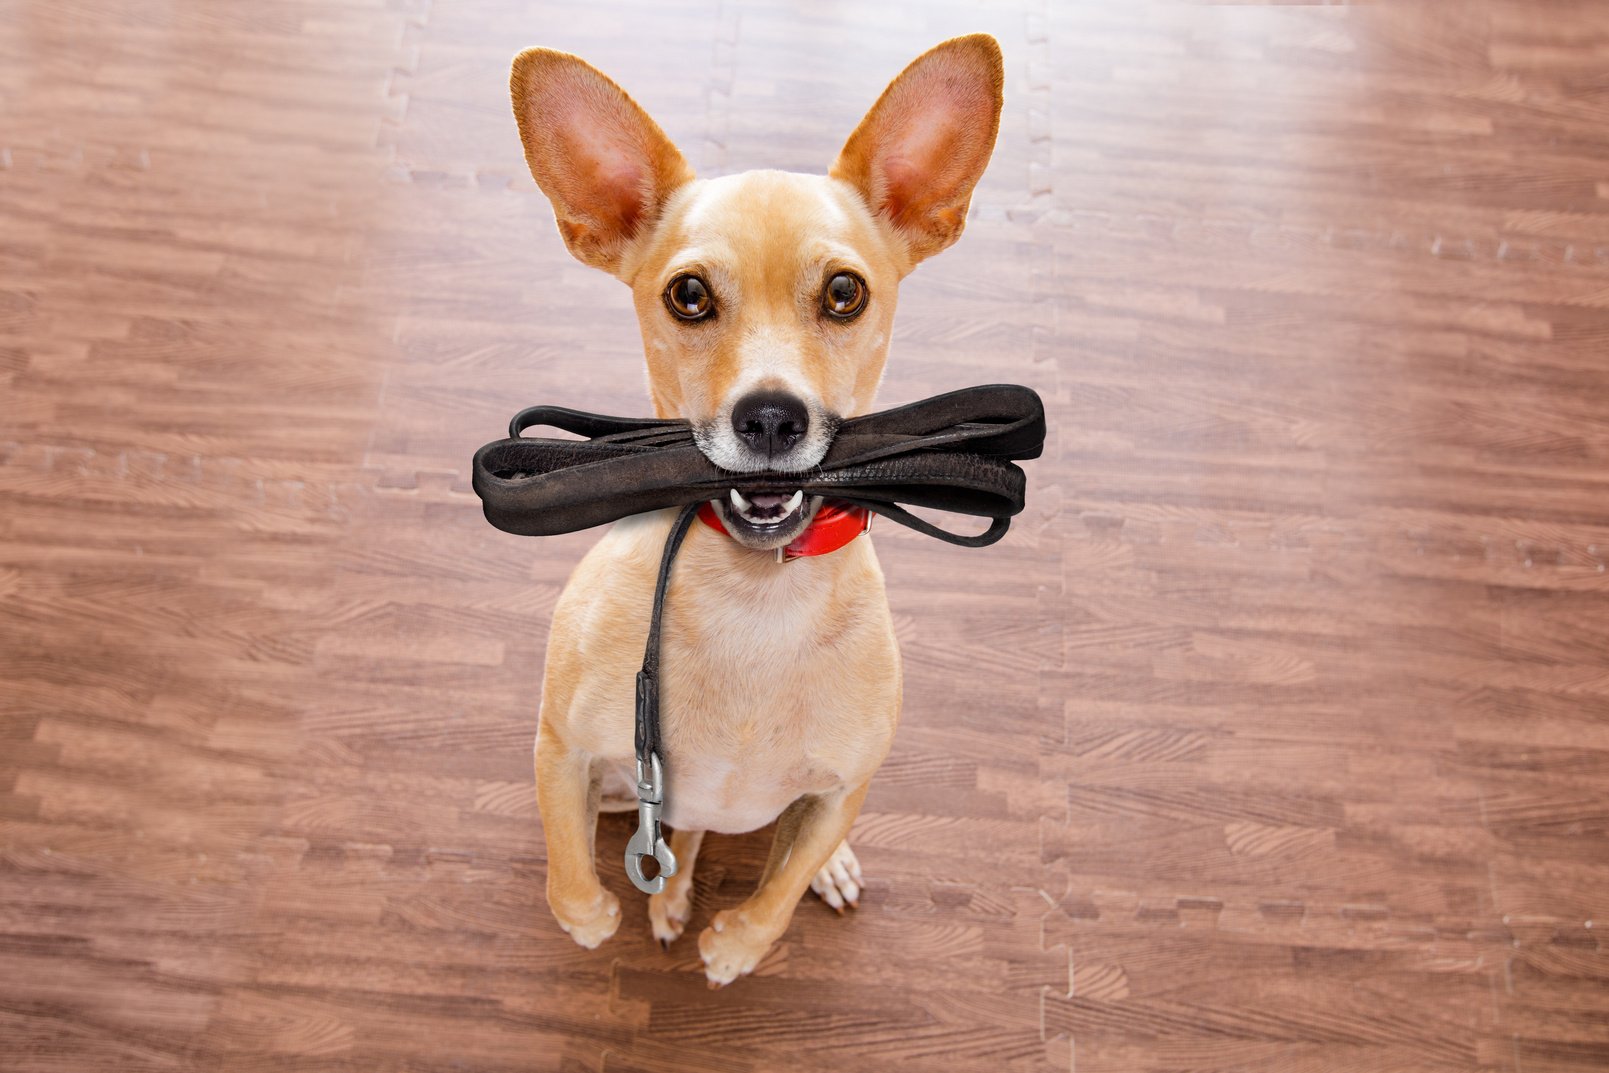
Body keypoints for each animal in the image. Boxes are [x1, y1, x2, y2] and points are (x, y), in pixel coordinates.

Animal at [508, 35, 997, 990]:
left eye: (844, 293)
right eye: (688, 295)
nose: (770, 416)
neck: (754, 598)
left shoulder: (841, 789)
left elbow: (776, 894)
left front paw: (734, 946)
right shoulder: (564, 750)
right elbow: (568, 869)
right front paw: (594, 918)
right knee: (679, 833)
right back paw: (665, 893)